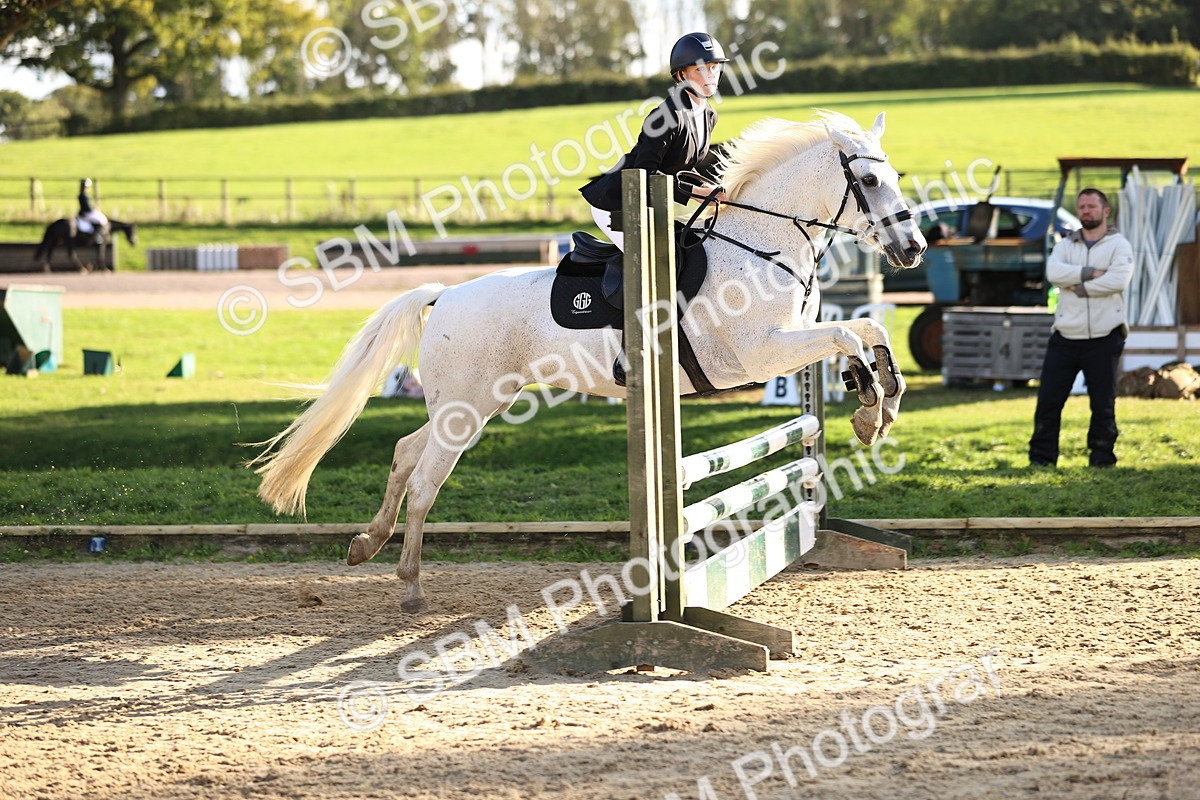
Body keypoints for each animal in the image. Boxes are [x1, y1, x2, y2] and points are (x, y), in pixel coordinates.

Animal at [251, 110, 927, 613]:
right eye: (869, 183)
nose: (914, 248)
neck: (762, 248)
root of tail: (446, 295)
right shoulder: (762, 352)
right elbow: (846, 336)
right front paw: (868, 407)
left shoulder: (793, 338)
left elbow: (864, 329)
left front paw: (880, 402)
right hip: (467, 408)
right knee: (424, 482)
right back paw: (412, 587)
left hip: (468, 406)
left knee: (404, 453)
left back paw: (367, 546)